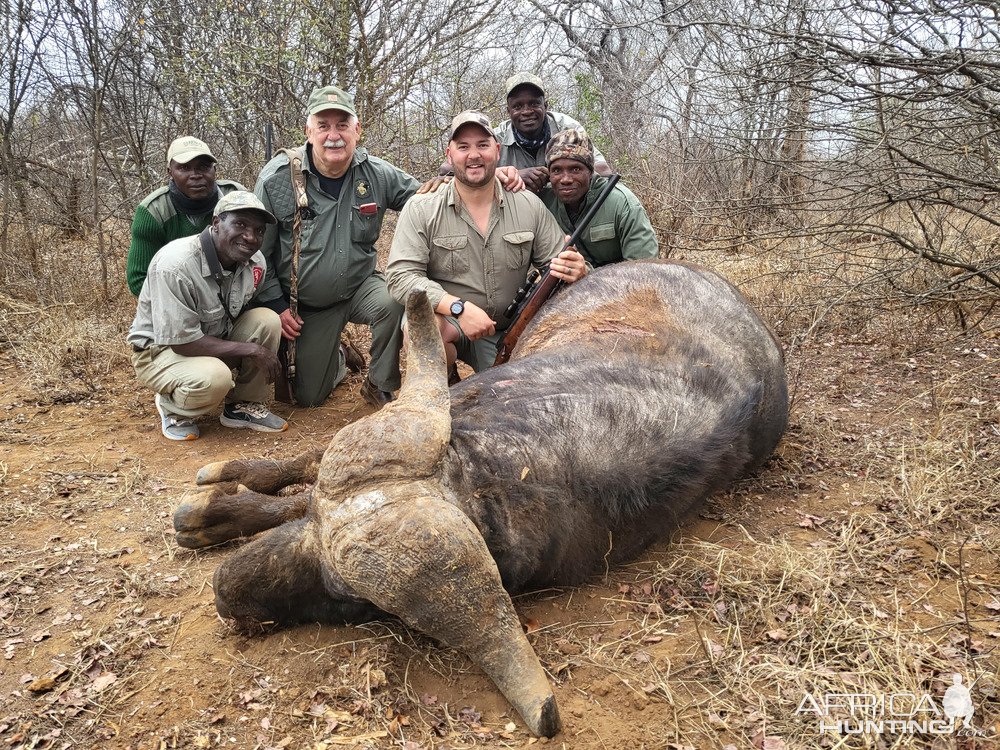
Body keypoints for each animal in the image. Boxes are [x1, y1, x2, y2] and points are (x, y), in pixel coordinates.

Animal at [176, 260, 792, 740]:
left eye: (348, 600)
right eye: (313, 530)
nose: (225, 591)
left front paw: (216, 514)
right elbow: (304, 475)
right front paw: (217, 507)